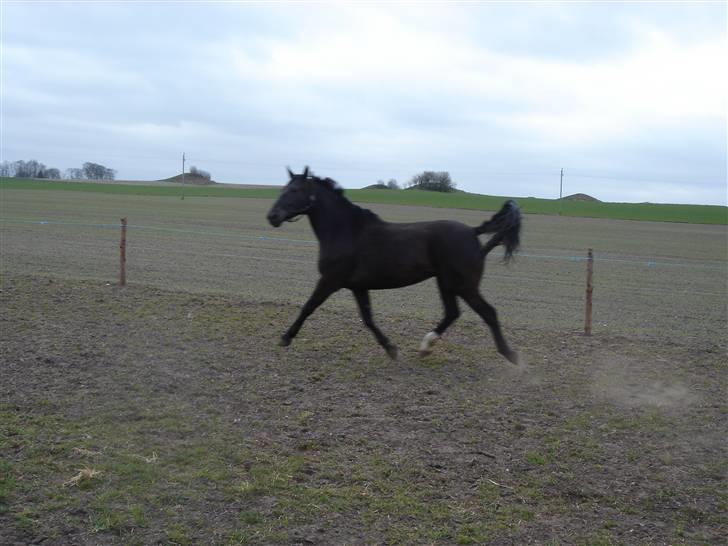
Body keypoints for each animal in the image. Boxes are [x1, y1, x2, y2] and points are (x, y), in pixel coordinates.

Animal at [268, 165, 524, 362]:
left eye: (295, 190)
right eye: (283, 189)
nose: (272, 217)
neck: (347, 232)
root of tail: (472, 232)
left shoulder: (330, 280)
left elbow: (308, 306)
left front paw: (285, 338)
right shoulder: (358, 287)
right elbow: (368, 319)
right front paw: (391, 348)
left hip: (464, 285)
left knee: (488, 312)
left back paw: (512, 357)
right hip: (446, 283)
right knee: (452, 313)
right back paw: (425, 347)